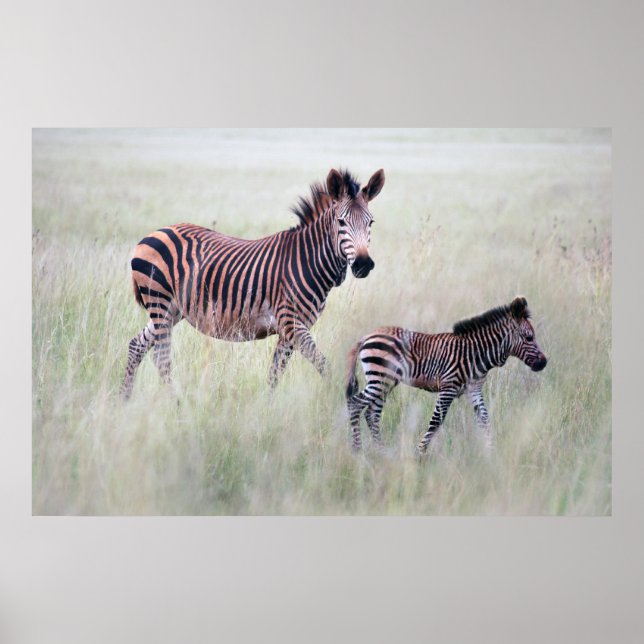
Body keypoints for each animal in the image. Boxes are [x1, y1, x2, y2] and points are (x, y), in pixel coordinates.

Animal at [121, 168, 385, 399]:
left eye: (371, 223)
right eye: (341, 222)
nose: (363, 264)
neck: (308, 261)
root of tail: (153, 233)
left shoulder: (290, 330)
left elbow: (275, 374)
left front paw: (267, 408)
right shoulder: (291, 322)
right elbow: (325, 367)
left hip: (172, 310)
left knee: (136, 346)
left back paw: (124, 400)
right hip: (160, 302)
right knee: (161, 357)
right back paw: (174, 402)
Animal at [345, 296, 547, 453]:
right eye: (529, 337)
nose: (544, 363)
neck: (477, 354)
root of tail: (367, 336)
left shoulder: (473, 389)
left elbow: (484, 420)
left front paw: (492, 453)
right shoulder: (448, 388)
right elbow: (436, 421)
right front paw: (419, 455)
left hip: (384, 382)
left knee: (371, 413)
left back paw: (380, 452)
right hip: (379, 379)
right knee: (355, 404)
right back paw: (357, 451)